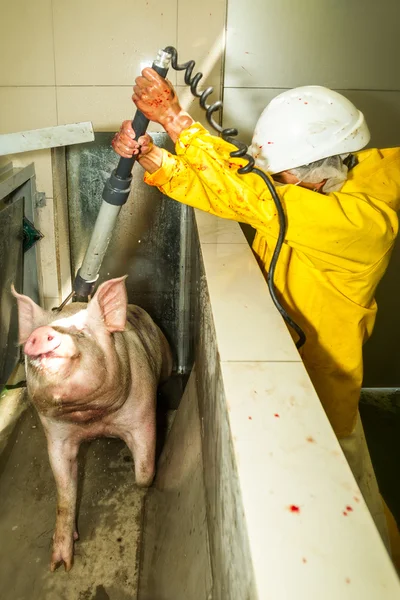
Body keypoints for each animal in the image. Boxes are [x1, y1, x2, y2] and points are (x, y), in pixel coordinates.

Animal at [11, 276, 171, 572]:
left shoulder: (142, 414)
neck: (92, 420)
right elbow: (64, 491)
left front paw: (146, 480)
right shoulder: (56, 435)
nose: (40, 335)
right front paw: (61, 565)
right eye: (33, 334)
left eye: (82, 332)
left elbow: (144, 472)